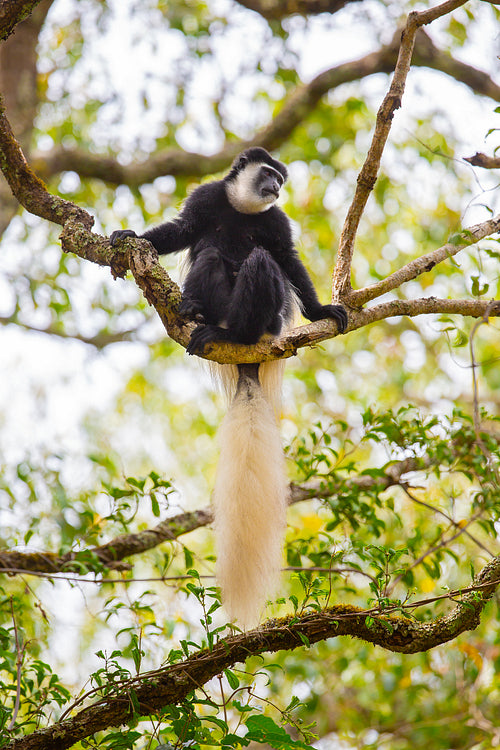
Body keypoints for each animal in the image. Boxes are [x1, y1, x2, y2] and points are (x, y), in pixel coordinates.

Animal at [111, 148, 348, 628]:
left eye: (280, 181)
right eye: (269, 174)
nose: (275, 188)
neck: (242, 210)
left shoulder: (277, 222)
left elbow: (285, 258)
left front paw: (320, 310)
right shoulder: (205, 199)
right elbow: (183, 230)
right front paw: (130, 235)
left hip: (266, 319)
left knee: (261, 262)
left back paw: (235, 331)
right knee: (211, 257)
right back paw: (196, 314)